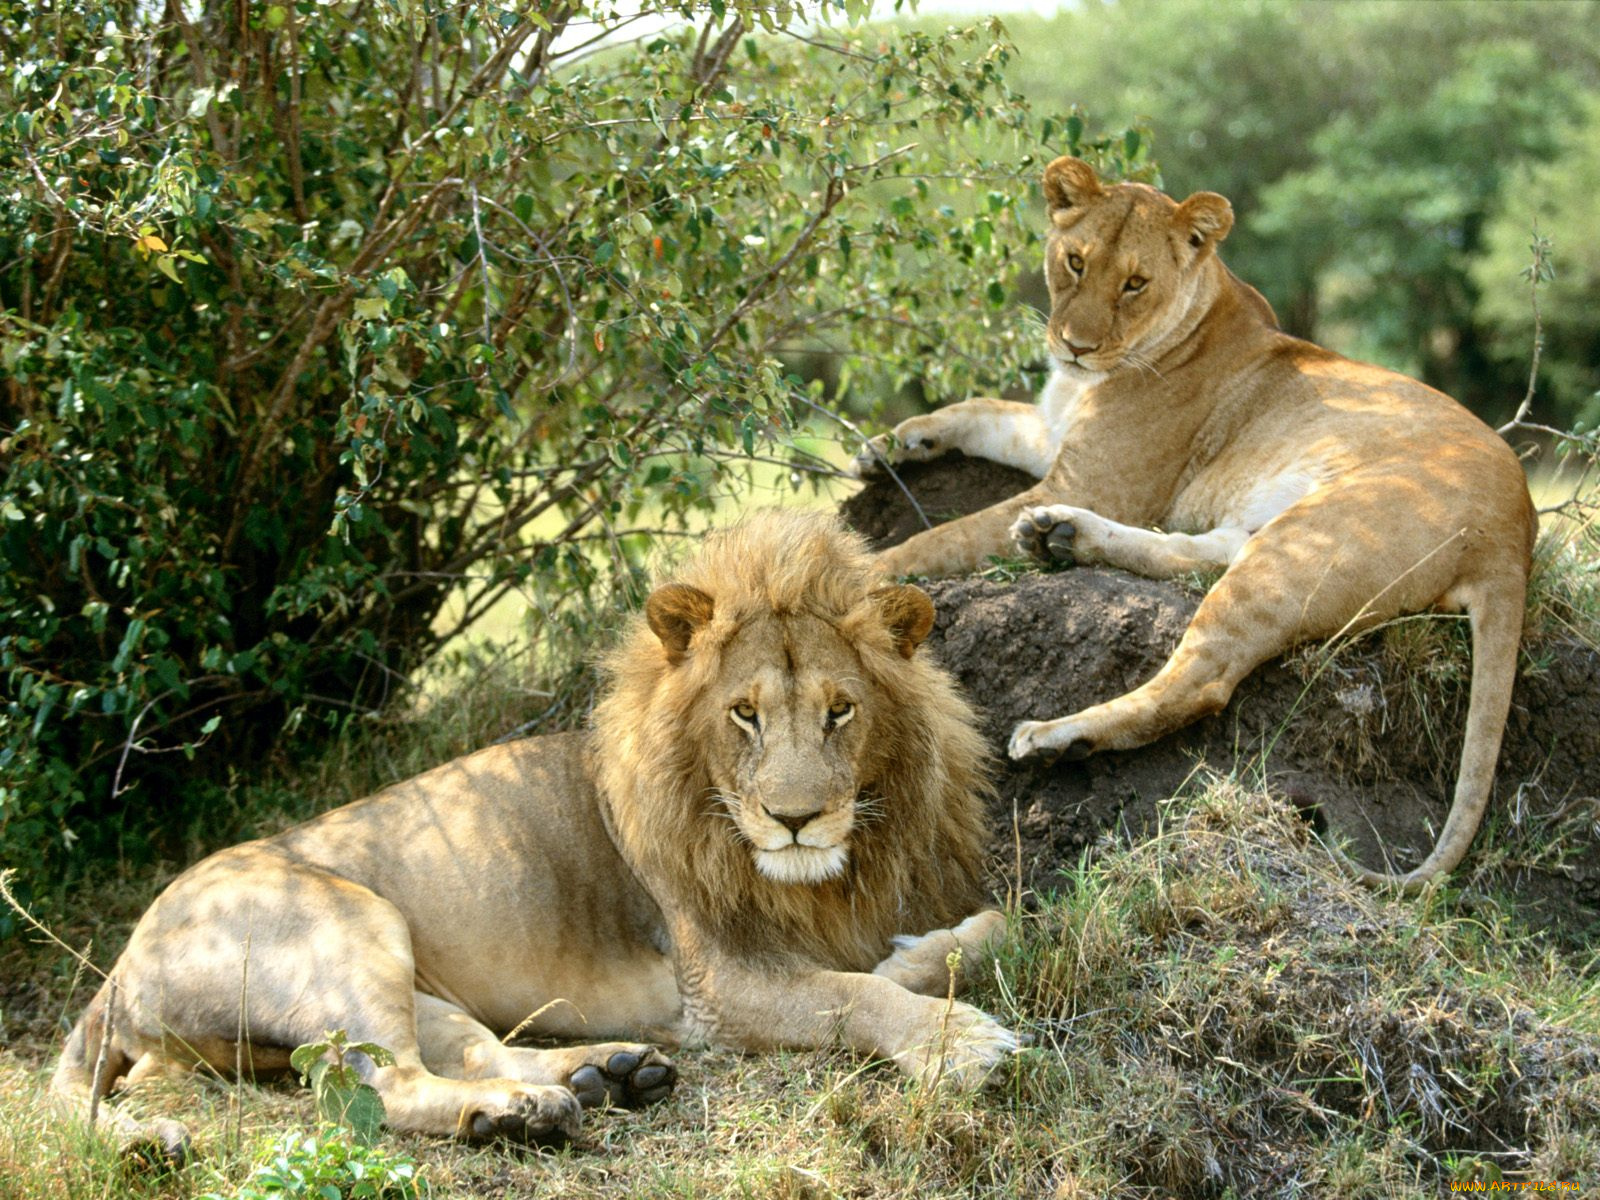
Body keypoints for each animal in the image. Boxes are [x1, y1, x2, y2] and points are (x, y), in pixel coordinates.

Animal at [51, 510, 1014, 1158]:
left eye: (840, 710)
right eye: (744, 714)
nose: (795, 819)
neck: (828, 874)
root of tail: (119, 966)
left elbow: (982, 933)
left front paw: (921, 955)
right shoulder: (717, 985)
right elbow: (853, 997)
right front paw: (960, 1043)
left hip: (408, 980)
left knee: (472, 1049)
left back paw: (605, 1074)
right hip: (350, 925)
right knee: (380, 1087)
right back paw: (522, 1115)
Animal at [854, 156, 1537, 891]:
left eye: (1135, 283)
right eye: (1074, 261)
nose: (1074, 346)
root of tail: (1517, 531)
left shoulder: (1097, 480)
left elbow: (942, 537)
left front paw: (863, 569)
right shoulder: (1058, 439)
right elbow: (980, 410)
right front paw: (891, 443)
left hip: (1307, 542)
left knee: (1201, 680)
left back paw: (1055, 734)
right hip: (1270, 532)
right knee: (1197, 554)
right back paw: (1058, 537)